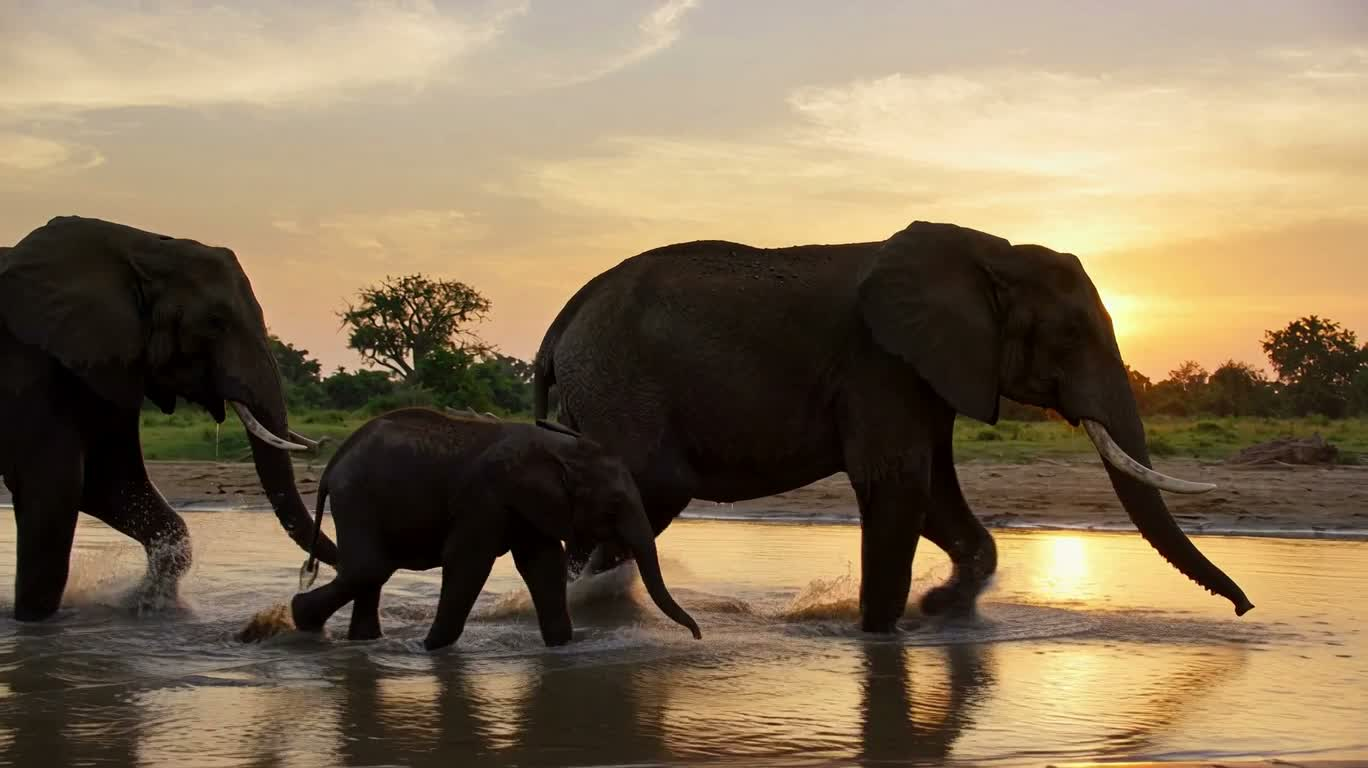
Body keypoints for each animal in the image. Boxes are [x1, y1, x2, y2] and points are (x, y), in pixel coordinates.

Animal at [0, 215, 337, 620]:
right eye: (215, 322)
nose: (309, 573)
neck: (135, 246)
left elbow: (106, 483)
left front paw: (147, 606)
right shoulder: (26, 363)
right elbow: (55, 489)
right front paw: (33, 625)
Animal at [288, 407, 702, 651]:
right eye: (614, 505)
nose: (697, 636)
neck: (557, 449)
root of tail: (332, 464)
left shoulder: (525, 503)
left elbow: (543, 564)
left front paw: (562, 648)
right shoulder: (484, 496)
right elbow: (469, 561)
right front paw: (433, 649)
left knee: (372, 571)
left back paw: (359, 641)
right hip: (357, 495)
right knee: (370, 568)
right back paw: (301, 620)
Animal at [533, 220, 1254, 632]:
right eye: (1072, 334)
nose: (1245, 609)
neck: (990, 255)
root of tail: (564, 320)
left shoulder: (927, 370)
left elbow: (934, 494)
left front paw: (940, 611)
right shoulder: (879, 362)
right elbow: (900, 486)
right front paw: (884, 635)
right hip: (623, 392)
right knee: (640, 500)